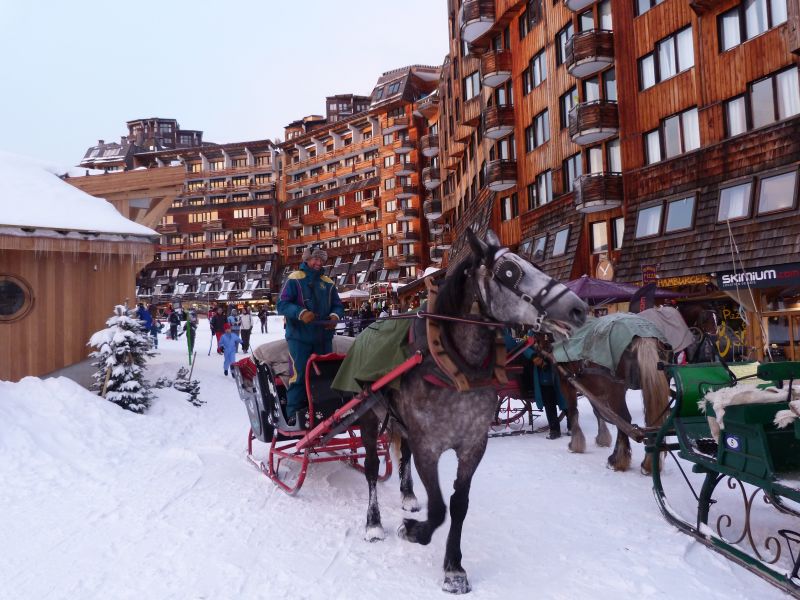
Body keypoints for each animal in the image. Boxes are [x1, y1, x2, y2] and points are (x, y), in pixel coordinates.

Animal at [356, 229, 588, 592]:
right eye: (510, 271)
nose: (579, 309)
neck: (452, 365)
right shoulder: (428, 447)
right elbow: (438, 508)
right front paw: (413, 531)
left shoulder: (473, 445)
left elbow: (458, 505)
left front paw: (453, 568)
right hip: (367, 416)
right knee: (370, 468)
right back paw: (374, 524)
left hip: (401, 423)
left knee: (402, 455)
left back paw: (408, 496)